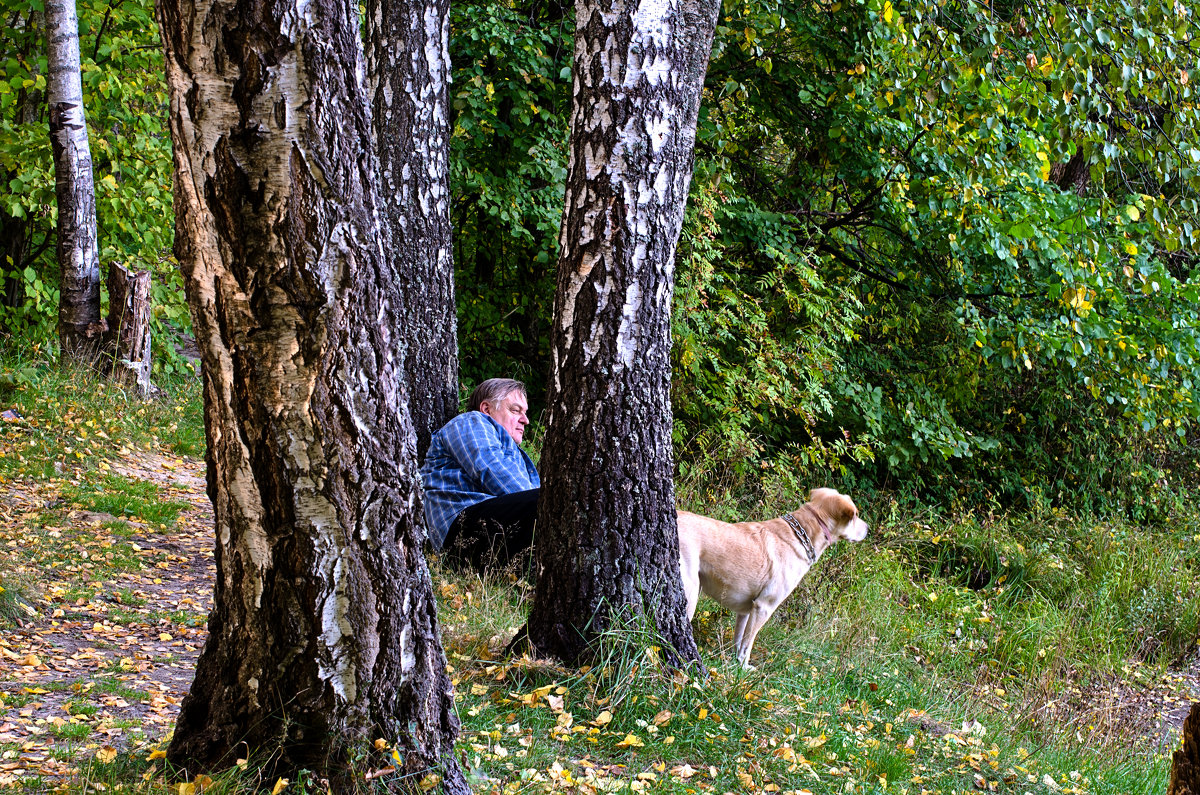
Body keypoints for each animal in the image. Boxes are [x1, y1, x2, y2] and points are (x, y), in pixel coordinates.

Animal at [681, 489, 868, 667]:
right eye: (855, 515)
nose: (868, 528)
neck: (803, 535)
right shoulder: (763, 607)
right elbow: (747, 646)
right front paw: (743, 668)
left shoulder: (745, 611)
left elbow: (739, 640)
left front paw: (735, 663)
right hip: (690, 594)